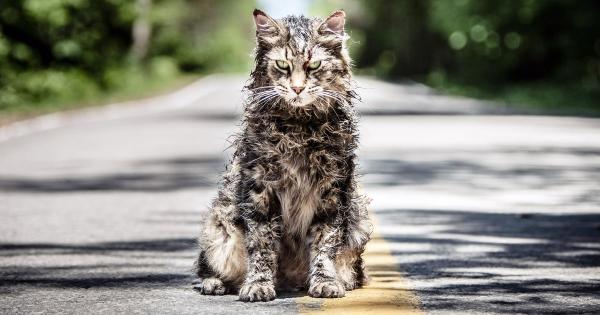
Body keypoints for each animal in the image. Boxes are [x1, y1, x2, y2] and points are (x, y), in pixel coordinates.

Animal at [193, 9, 370, 304]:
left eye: (314, 66)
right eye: (282, 65)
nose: (297, 89)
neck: (299, 128)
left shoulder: (332, 191)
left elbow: (325, 243)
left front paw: (325, 282)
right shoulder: (260, 190)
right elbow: (262, 245)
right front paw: (258, 285)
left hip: (359, 224)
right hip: (219, 225)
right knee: (207, 266)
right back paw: (214, 283)